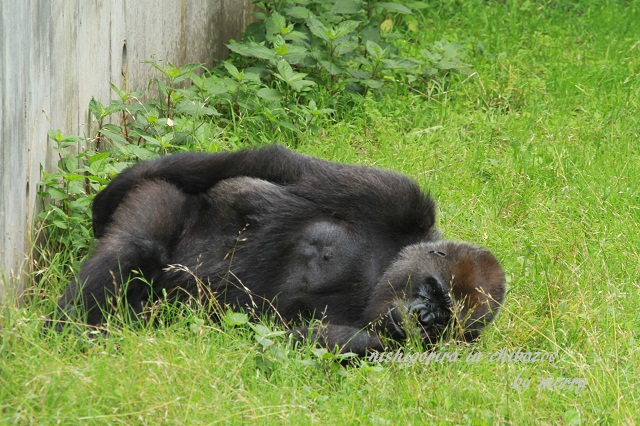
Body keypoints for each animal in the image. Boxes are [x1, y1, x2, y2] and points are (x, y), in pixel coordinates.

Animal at [53, 145, 504, 354]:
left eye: (443, 321)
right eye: (433, 291)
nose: (423, 318)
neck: (386, 265)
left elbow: (293, 338)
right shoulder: (398, 196)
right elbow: (282, 166)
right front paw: (109, 195)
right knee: (135, 242)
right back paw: (62, 336)